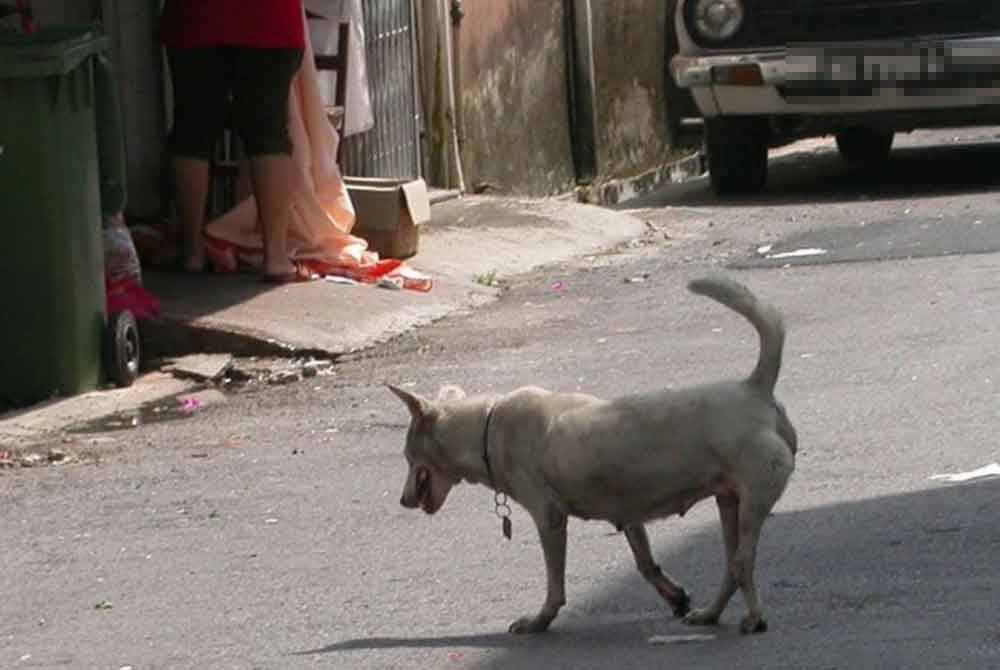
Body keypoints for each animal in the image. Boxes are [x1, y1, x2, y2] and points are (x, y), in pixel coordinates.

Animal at [390, 276, 796, 636]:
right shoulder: (629, 514)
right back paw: (710, 613)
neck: (486, 425)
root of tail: (754, 387)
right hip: (729, 500)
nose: (404, 500)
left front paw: (539, 621)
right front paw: (675, 596)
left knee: (742, 563)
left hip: (754, 496)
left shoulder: (549, 520)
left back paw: (754, 617)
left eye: (408, 456)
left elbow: (555, 584)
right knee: (731, 565)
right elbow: (645, 562)